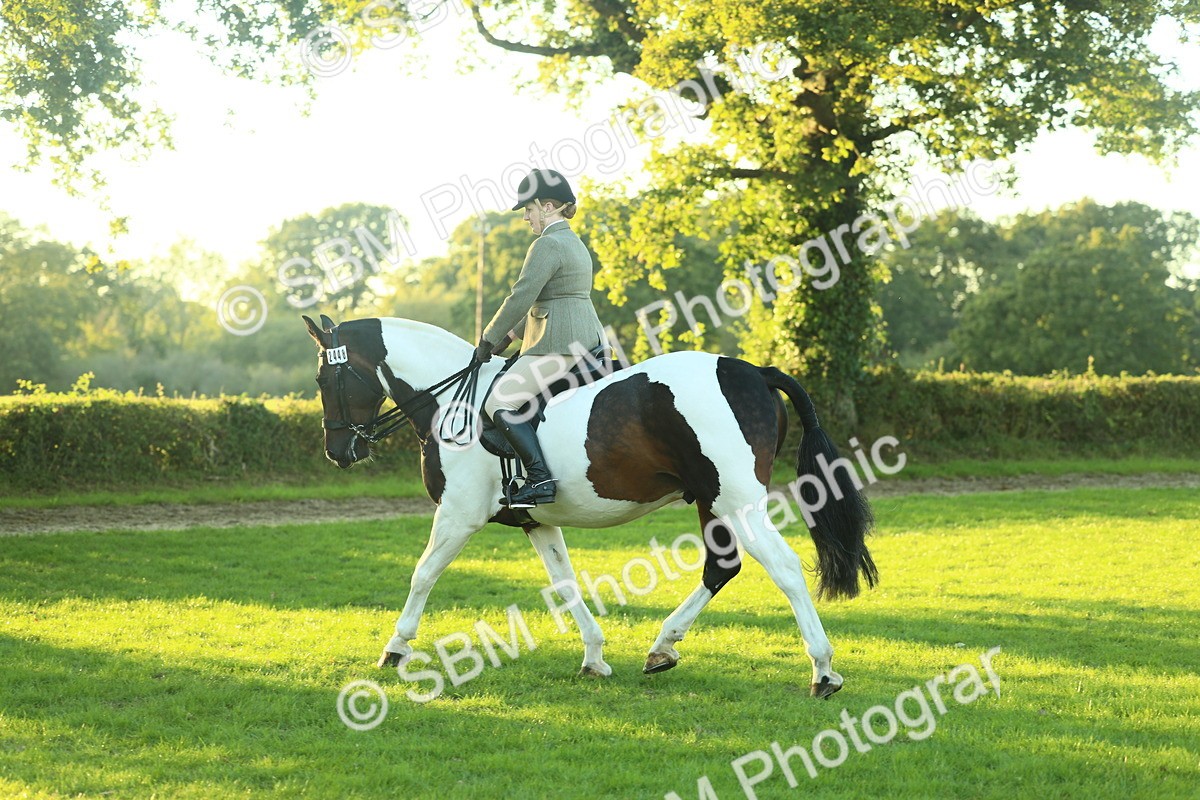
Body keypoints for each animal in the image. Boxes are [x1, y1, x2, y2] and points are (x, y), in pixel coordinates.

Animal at [303, 314, 877, 698]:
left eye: (325, 379)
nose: (338, 451)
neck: (452, 402)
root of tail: (753, 371)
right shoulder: (534, 521)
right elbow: (565, 584)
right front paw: (595, 657)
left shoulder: (459, 514)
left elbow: (422, 573)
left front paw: (396, 648)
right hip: (713, 500)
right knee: (721, 567)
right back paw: (662, 647)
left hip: (736, 499)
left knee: (783, 568)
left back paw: (823, 670)